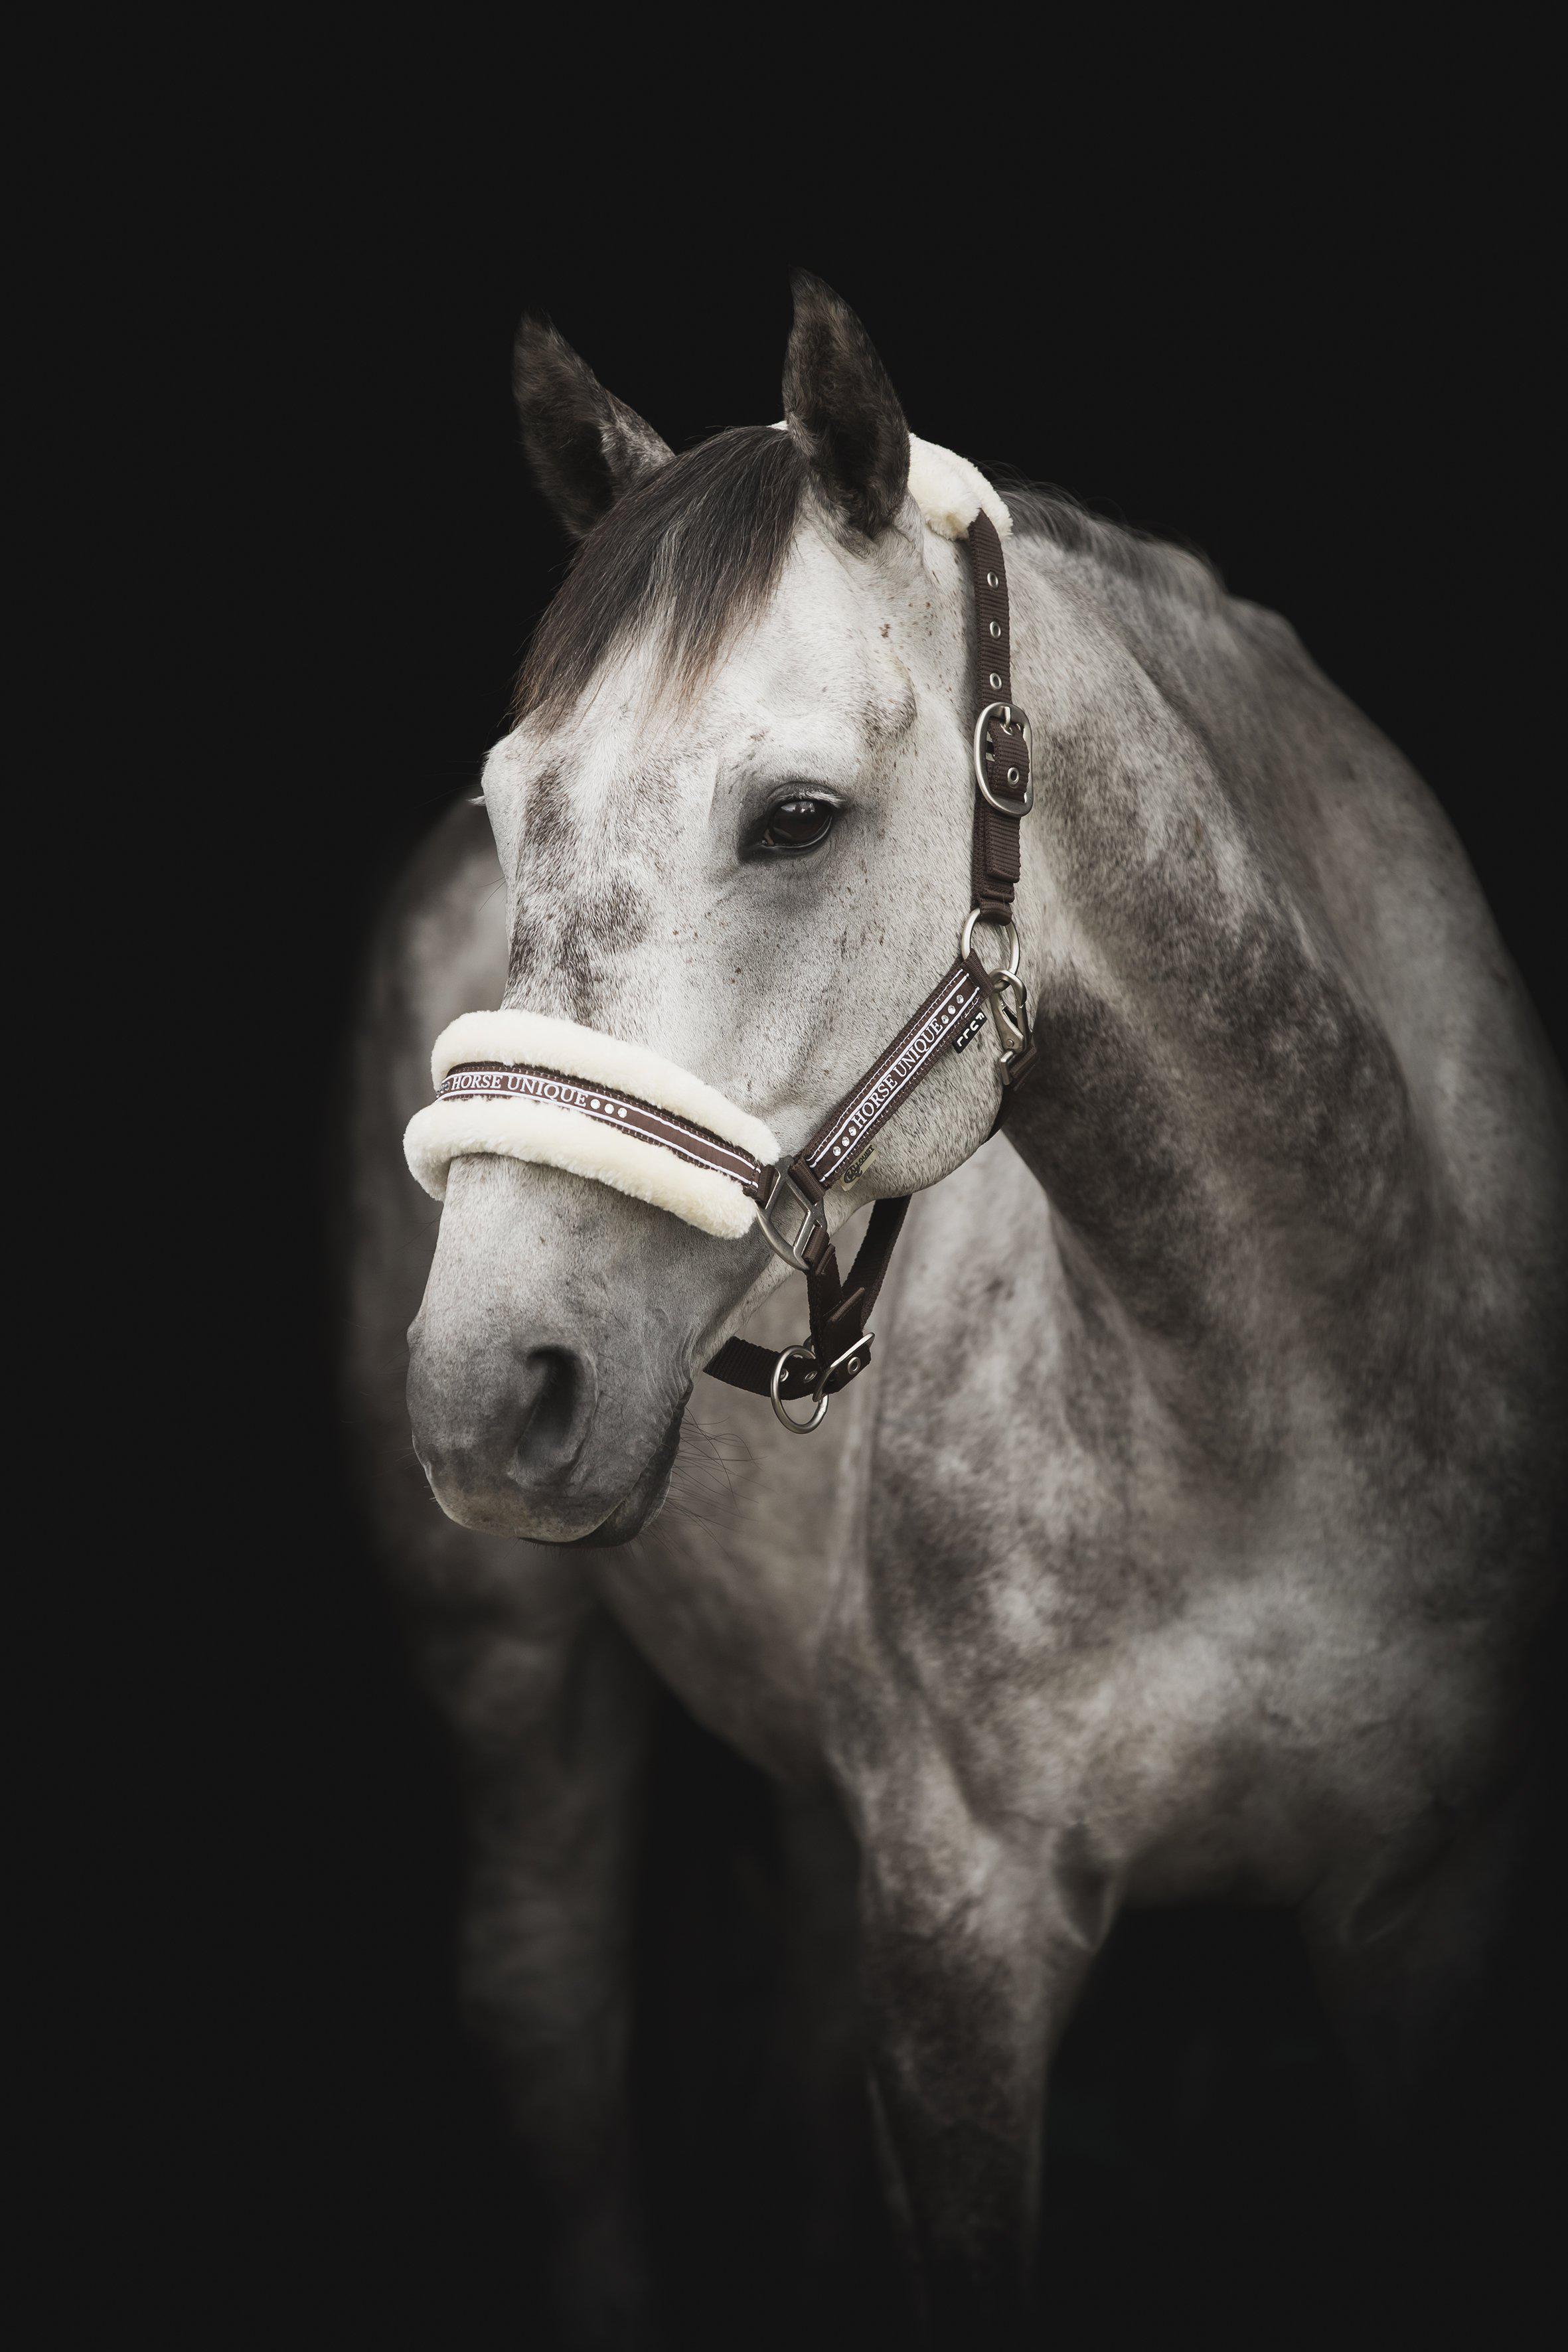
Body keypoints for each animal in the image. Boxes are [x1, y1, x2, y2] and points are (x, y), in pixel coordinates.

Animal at [343, 273, 1568, 2343]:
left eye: (795, 815)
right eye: (515, 805)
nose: (488, 1389)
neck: (1278, 1394)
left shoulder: (1439, 1906)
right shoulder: (964, 1930)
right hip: (511, 1671)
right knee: (552, 2022)